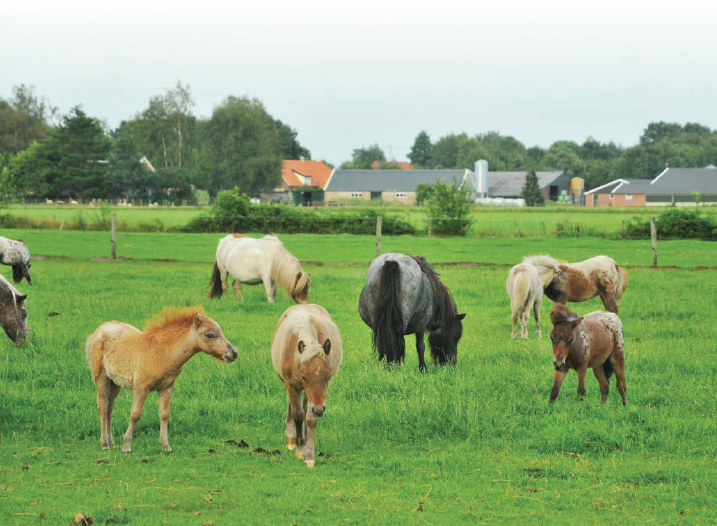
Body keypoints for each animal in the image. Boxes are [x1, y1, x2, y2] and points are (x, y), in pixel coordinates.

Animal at [86, 310, 238, 454]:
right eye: (210, 335)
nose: (234, 353)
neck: (163, 353)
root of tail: (98, 331)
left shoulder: (166, 388)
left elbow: (164, 415)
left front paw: (165, 445)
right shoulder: (141, 387)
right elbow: (135, 414)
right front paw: (126, 445)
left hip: (115, 382)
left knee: (110, 407)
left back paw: (111, 441)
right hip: (101, 377)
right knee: (103, 406)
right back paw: (104, 443)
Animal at [272, 306, 344, 470]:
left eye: (328, 376)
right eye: (304, 376)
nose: (319, 409)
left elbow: (310, 418)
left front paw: (309, 456)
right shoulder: (292, 385)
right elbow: (298, 415)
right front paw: (299, 450)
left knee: (305, 407)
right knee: (292, 406)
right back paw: (291, 438)